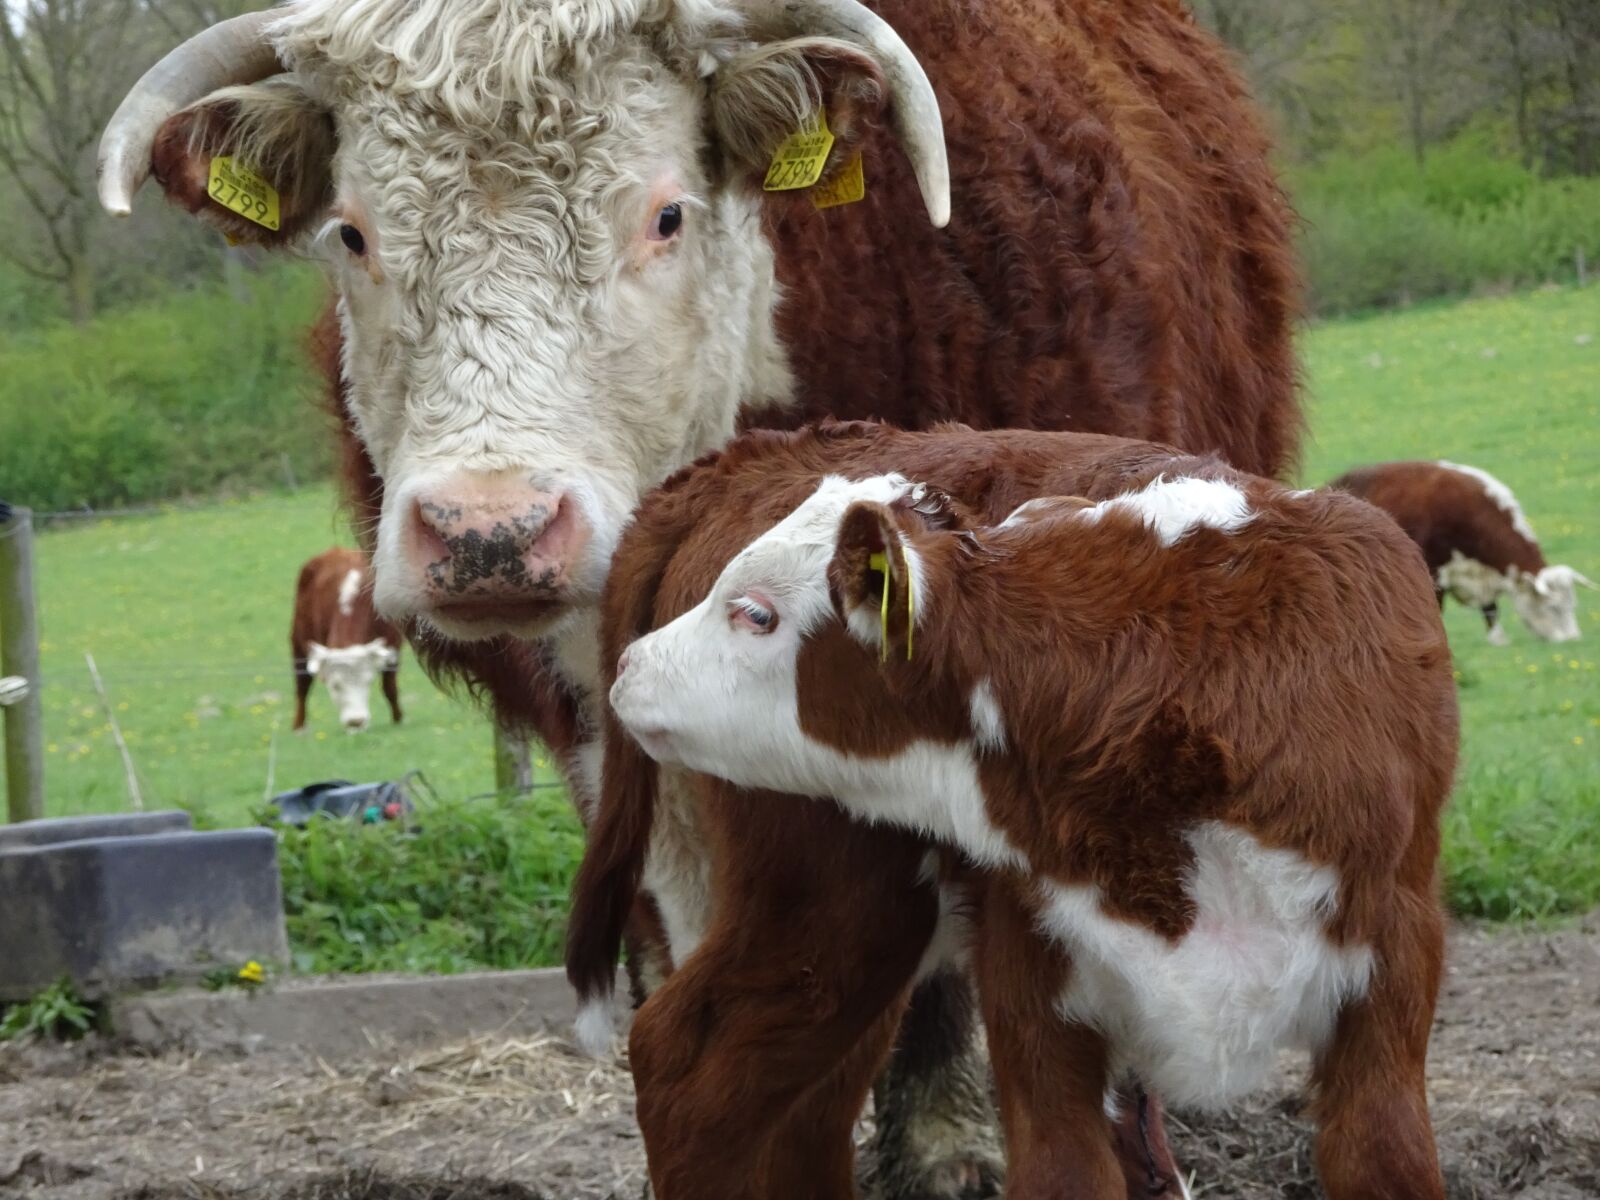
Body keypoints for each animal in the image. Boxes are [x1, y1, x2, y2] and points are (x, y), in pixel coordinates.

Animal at [294, 547, 406, 732]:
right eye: (335, 685)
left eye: (368, 681)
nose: (356, 721)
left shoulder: (392, 646)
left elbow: (390, 688)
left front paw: (399, 721)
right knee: (302, 686)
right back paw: (299, 728)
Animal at [569, 428, 1459, 1200]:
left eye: (755, 613)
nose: (634, 666)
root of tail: (741, 458)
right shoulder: (1032, 977)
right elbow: (1065, 1171)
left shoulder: (1393, 958)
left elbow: (1383, 1156)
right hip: (823, 911)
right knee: (690, 1074)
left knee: (802, 1110)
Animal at [1331, 464, 1593, 649]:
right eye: (1553, 607)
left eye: (1573, 604)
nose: (1573, 639)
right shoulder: (1434, 572)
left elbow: (1490, 609)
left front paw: (1498, 639)